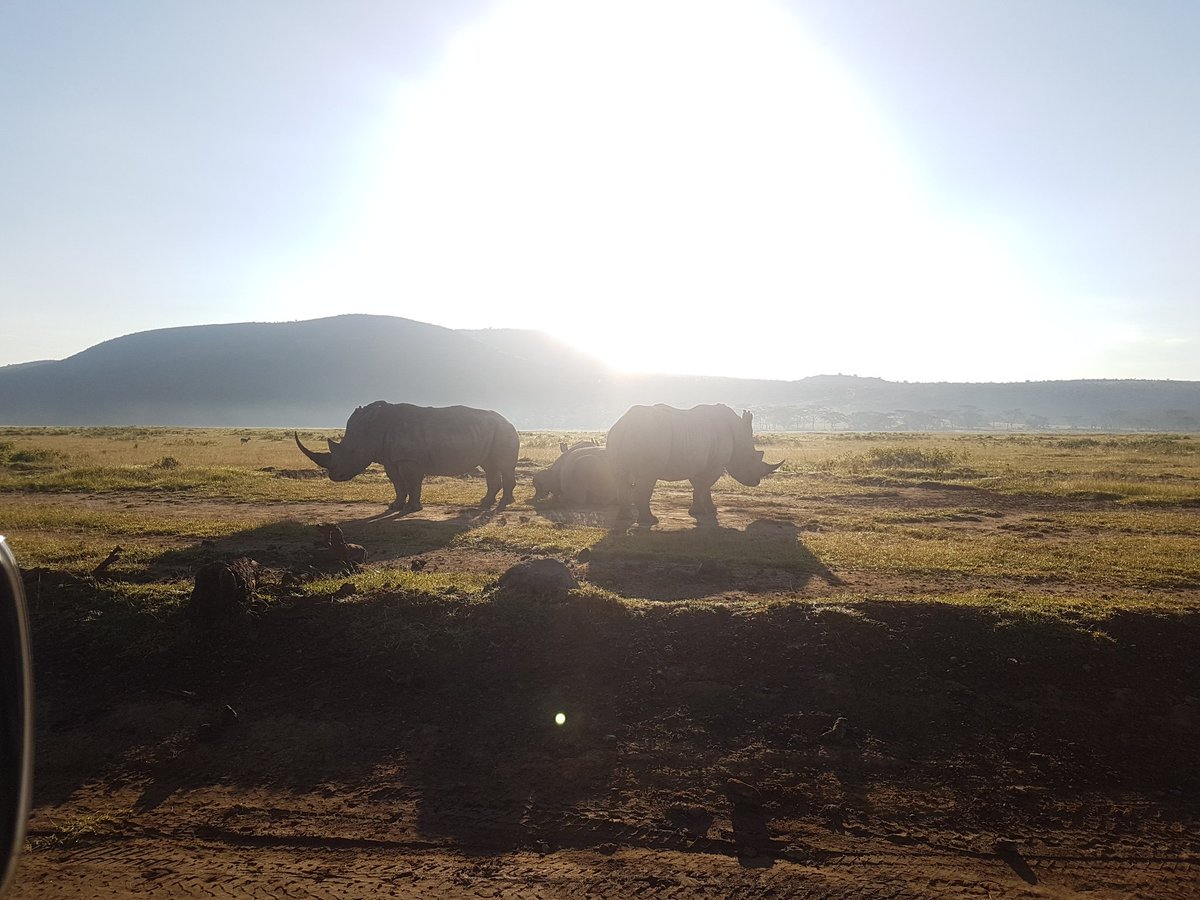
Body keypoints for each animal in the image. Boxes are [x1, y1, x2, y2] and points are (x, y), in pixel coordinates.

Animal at [295, 401, 519, 515]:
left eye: (351, 452)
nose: (334, 476)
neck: (373, 427)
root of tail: (509, 420)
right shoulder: (391, 459)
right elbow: (398, 483)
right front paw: (395, 506)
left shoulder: (409, 459)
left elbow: (412, 483)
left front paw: (413, 508)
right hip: (492, 432)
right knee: (490, 466)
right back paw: (484, 503)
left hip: (504, 431)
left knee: (504, 467)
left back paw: (502, 504)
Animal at [606, 403, 784, 525]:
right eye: (753, 458)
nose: (756, 482)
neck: (738, 433)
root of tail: (626, 423)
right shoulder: (716, 464)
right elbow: (703, 486)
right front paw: (699, 512)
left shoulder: (699, 463)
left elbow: (703, 487)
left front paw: (710, 510)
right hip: (649, 435)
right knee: (647, 478)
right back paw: (650, 521)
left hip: (616, 433)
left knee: (620, 477)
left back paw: (625, 518)